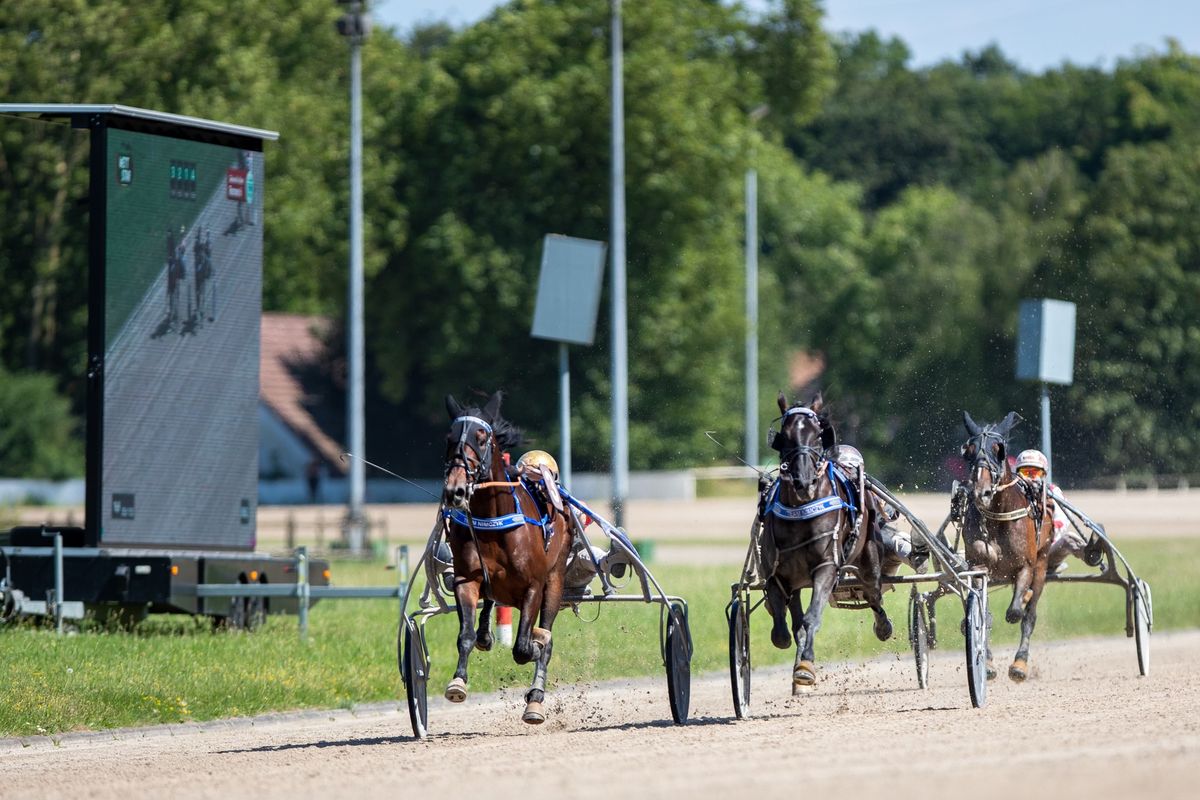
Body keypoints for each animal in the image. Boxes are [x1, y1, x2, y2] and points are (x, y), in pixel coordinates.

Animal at [441, 393, 571, 724]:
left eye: (481, 437)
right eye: (449, 438)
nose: (455, 490)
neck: (493, 518)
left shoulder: (534, 586)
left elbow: (526, 648)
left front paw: (536, 650)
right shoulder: (466, 579)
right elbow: (465, 635)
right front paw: (458, 682)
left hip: (555, 580)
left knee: (545, 631)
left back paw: (535, 697)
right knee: (489, 604)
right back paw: (486, 633)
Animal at [955, 412, 1051, 681]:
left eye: (999, 450)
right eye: (968, 451)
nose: (982, 492)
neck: (997, 518)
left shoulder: (1027, 565)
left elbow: (1016, 613)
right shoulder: (978, 565)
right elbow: (982, 612)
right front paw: (985, 663)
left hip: (1042, 562)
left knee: (1029, 615)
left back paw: (1020, 664)